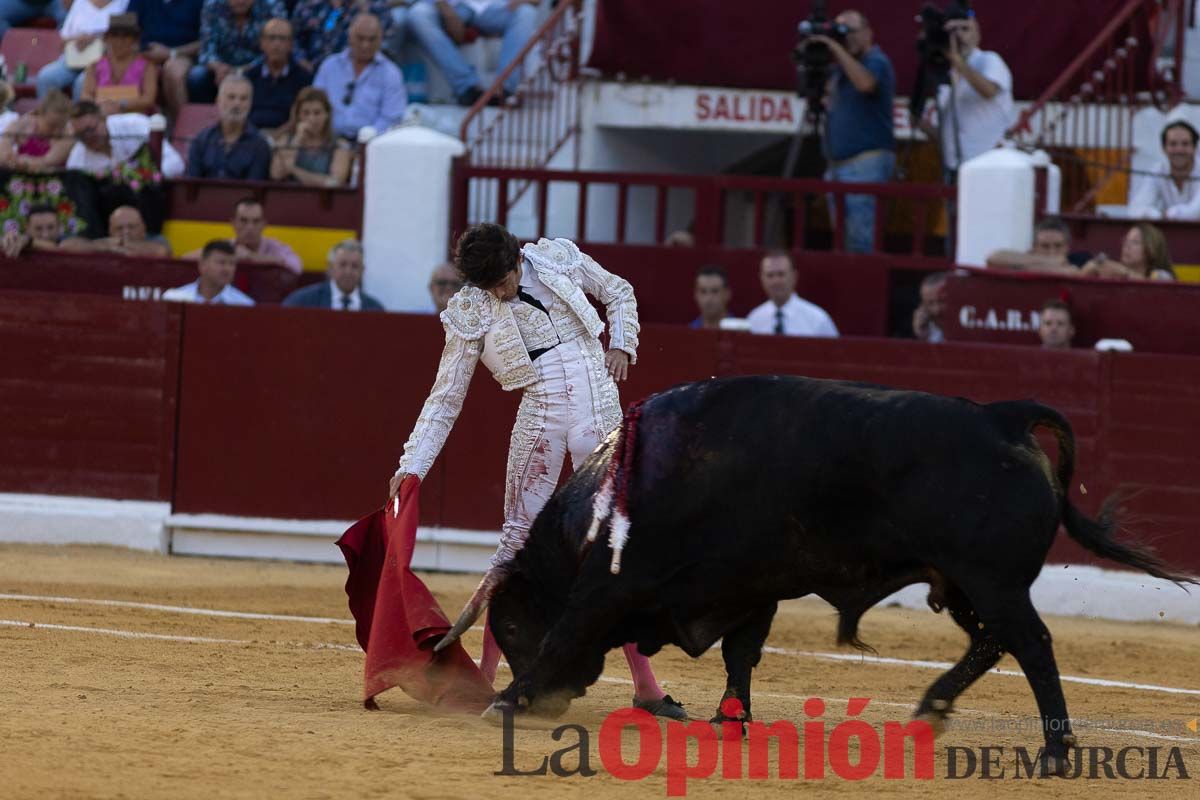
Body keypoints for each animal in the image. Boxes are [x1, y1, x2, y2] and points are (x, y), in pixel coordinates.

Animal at [436, 376, 1195, 767]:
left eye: (510, 624)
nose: (553, 703)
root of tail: (1002, 418)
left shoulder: (612, 585)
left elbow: (568, 631)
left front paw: (508, 700)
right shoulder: (749, 589)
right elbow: (741, 655)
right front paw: (730, 721)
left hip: (993, 580)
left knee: (1032, 645)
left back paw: (1056, 751)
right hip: (965, 584)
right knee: (993, 642)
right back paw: (932, 709)